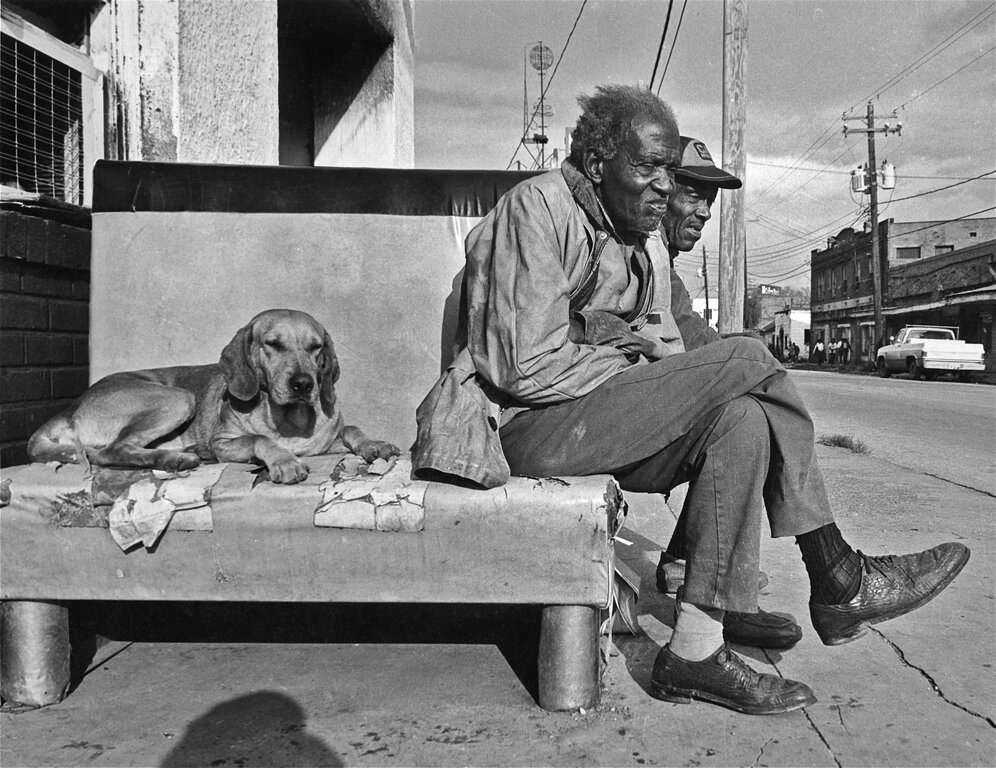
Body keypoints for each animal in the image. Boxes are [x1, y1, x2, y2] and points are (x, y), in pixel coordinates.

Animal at [24, 308, 396, 484]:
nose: (304, 384)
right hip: (178, 397)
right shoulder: (225, 443)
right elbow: (260, 440)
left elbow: (352, 430)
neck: (288, 419)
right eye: (272, 344)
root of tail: (71, 409)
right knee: (111, 451)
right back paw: (174, 459)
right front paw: (284, 461)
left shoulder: (327, 443)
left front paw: (374, 444)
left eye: (315, 347)